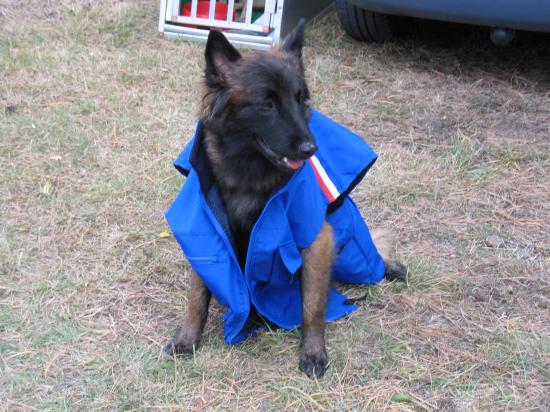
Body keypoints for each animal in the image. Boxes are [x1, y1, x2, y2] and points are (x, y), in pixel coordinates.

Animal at [162, 20, 408, 380]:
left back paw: (388, 267)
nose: (310, 148)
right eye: (267, 103)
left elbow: (312, 305)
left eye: (300, 99)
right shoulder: (205, 231)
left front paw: (313, 351)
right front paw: (186, 338)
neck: (248, 176)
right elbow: (197, 297)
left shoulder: (316, 238)